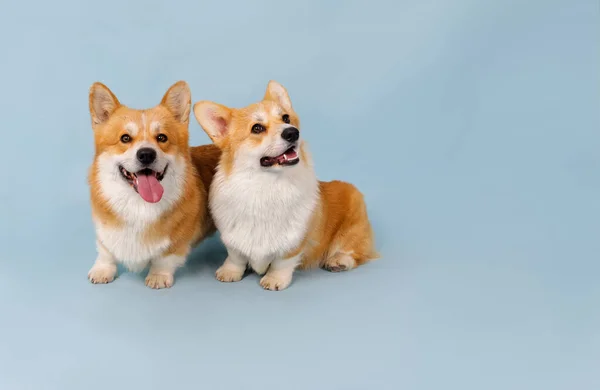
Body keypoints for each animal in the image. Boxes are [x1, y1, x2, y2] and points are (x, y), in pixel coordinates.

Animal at [86, 80, 220, 288]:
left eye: (162, 138)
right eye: (125, 138)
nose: (146, 154)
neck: (138, 203)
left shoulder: (176, 240)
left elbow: (165, 258)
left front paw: (158, 276)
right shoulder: (105, 229)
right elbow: (105, 250)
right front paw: (102, 270)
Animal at [195, 80, 378, 290]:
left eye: (285, 118)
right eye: (257, 128)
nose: (292, 132)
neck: (267, 185)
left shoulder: (294, 240)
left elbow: (282, 262)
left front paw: (275, 279)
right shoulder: (232, 239)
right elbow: (236, 257)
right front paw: (230, 272)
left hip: (353, 221)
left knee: (358, 252)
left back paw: (339, 261)